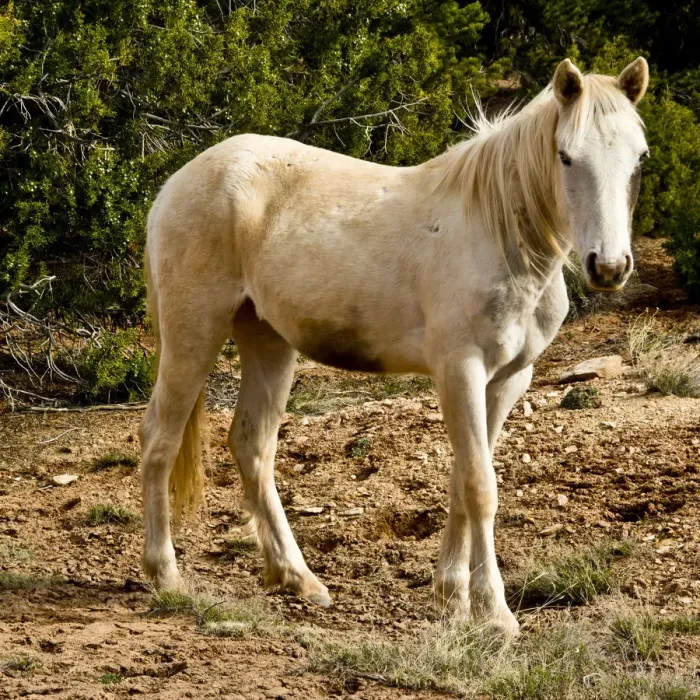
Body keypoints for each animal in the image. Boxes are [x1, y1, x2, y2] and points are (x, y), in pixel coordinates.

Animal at [139, 57, 649, 636]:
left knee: (252, 446)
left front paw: (451, 596)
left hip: (268, 341)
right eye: (566, 156)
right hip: (193, 333)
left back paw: (298, 578)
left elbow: (463, 481)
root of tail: (176, 184)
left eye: (639, 157)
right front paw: (494, 613)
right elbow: (481, 486)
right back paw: (166, 576)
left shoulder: (506, 380)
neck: (499, 233)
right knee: (160, 439)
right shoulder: (460, 371)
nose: (608, 267)